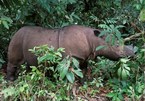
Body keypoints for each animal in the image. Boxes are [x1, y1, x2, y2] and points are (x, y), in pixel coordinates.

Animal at [5, 24, 135, 81]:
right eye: (117, 46)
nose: (133, 54)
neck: (94, 40)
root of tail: (15, 32)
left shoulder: (83, 57)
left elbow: (83, 71)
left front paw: (83, 83)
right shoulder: (72, 57)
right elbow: (69, 72)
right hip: (17, 39)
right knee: (13, 62)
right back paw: (10, 81)